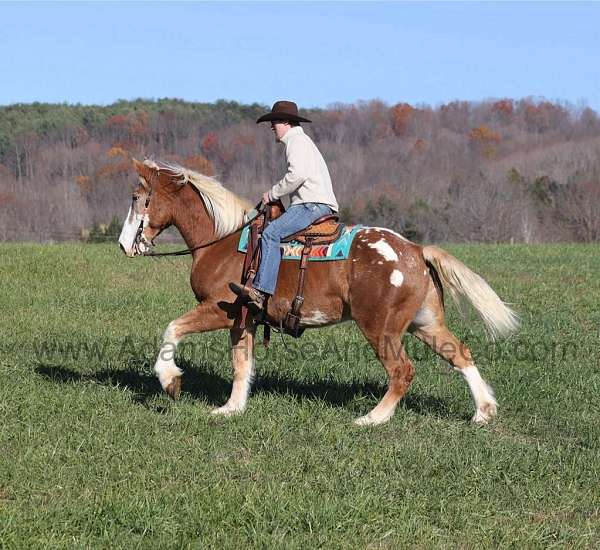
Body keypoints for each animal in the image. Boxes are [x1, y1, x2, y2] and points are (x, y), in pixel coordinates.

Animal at [119, 158, 516, 426]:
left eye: (137, 196)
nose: (124, 245)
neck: (224, 240)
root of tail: (416, 250)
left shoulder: (219, 308)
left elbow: (172, 328)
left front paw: (170, 380)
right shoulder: (243, 319)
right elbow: (241, 364)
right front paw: (232, 408)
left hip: (381, 328)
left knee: (402, 371)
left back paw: (372, 418)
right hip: (425, 322)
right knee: (459, 353)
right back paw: (483, 411)